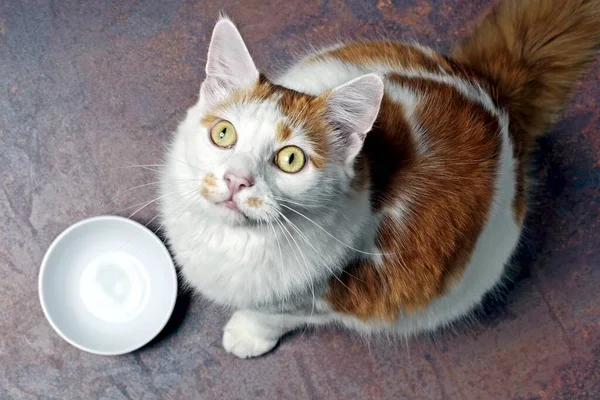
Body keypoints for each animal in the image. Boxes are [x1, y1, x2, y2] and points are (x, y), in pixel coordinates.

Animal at [159, 0, 600, 358]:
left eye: (291, 159)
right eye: (223, 134)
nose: (237, 180)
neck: (233, 243)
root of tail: (495, 94)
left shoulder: (324, 300)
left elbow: (272, 317)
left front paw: (247, 334)